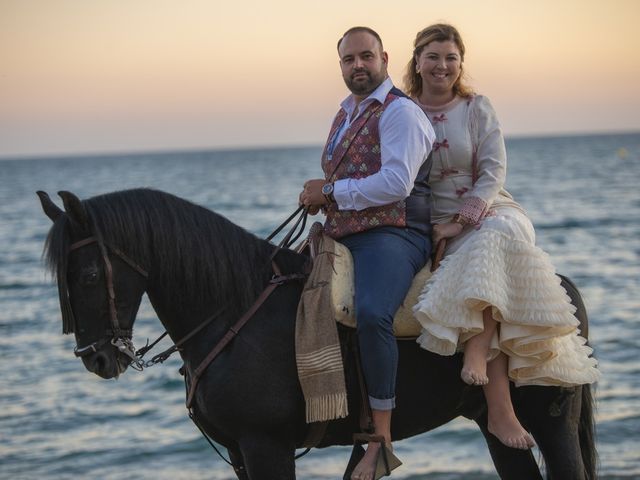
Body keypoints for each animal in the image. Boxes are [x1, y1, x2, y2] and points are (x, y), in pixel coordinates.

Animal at [37, 188, 596, 480]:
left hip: (551, 425)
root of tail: (562, 286)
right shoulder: (240, 453)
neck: (234, 310)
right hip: (496, 427)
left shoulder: (265, 446)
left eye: (90, 274)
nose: (96, 357)